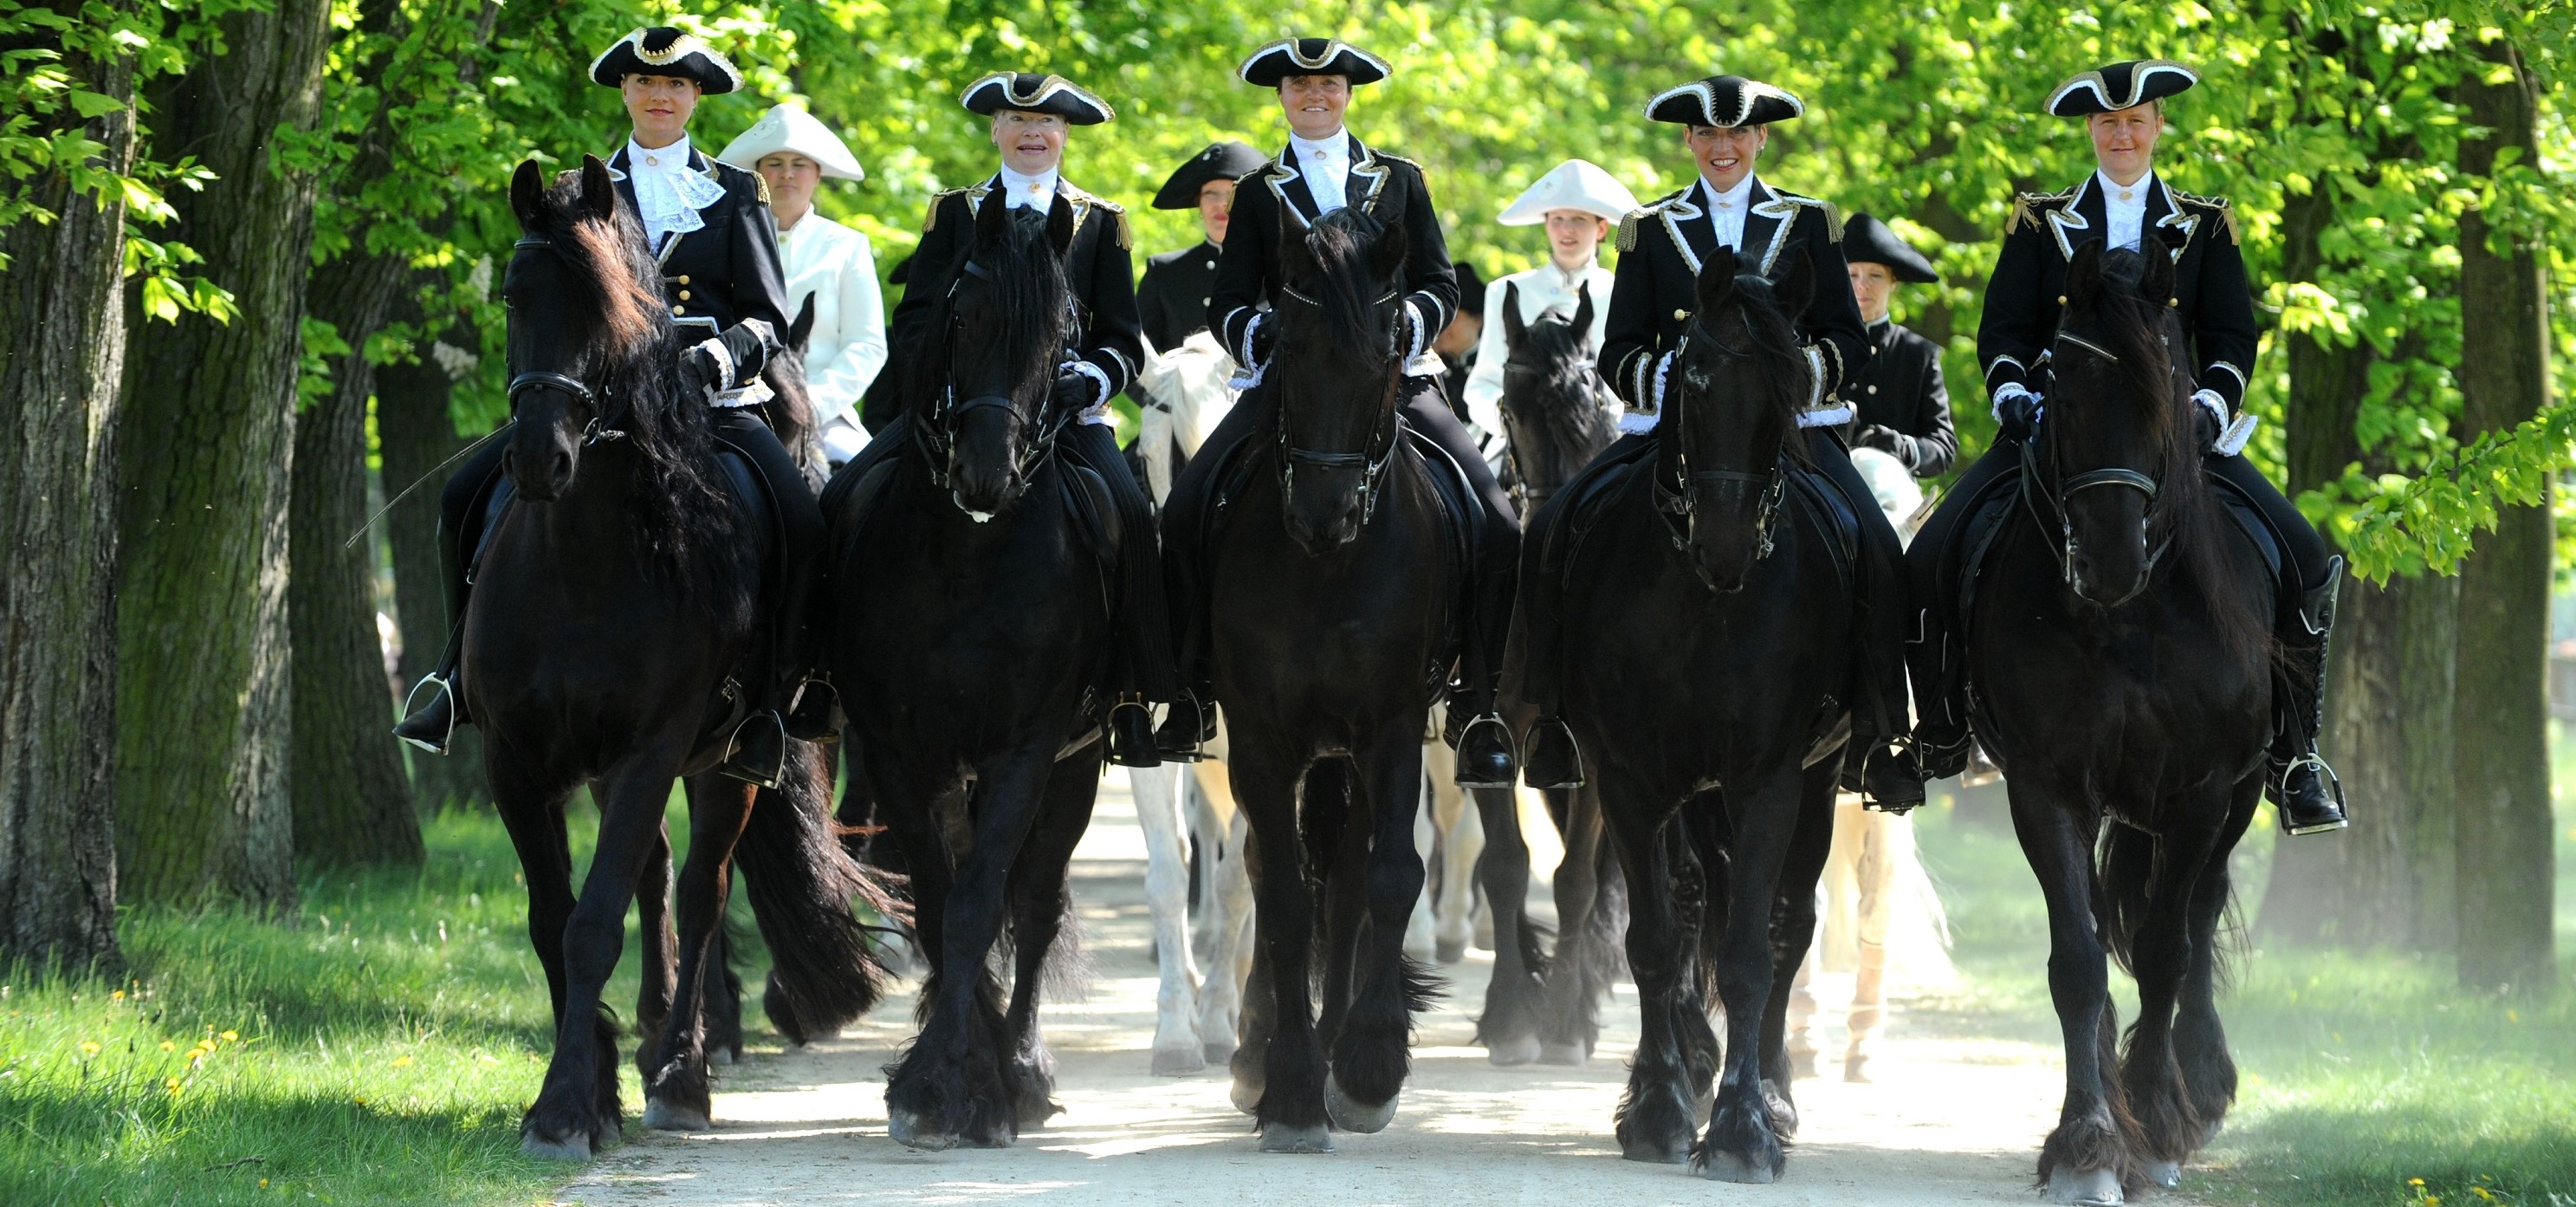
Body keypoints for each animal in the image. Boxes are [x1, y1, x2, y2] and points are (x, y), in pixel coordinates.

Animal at [476, 155, 896, 1155]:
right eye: (514, 293)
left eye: (613, 309)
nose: (541, 458)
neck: (579, 567)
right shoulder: (514, 759)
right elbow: (553, 918)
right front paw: (586, 1088)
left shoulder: (653, 749)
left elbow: (594, 923)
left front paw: (567, 1105)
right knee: (663, 878)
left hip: (733, 760)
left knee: (703, 889)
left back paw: (681, 1072)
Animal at [819, 191, 1112, 1150]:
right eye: (959, 314)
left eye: (1066, 334)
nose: (988, 472)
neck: (968, 557)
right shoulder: (899, 752)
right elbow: (940, 902)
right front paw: (938, 1079)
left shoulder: (1029, 748)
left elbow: (983, 903)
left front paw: (971, 1081)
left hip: (1074, 774)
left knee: (1037, 904)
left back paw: (1024, 1068)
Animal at [1535, 250, 1865, 1181]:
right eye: (1698, 381)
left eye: (1790, 392)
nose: (1725, 545)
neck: (1702, 605)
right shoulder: (1629, 778)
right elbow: (1656, 937)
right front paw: (1657, 1108)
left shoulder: (1770, 780)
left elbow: (1752, 951)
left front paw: (1745, 1128)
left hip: (1817, 784)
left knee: (1788, 925)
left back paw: (1777, 1094)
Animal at [1958, 238, 2267, 1207]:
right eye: (2060, 390)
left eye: (2168, 385)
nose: (2106, 560)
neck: (2129, 620)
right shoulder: (2047, 785)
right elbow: (2079, 961)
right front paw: (2089, 1141)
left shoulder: (2202, 790)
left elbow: (2167, 949)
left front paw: (2158, 1124)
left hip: (2241, 796)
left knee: (2200, 912)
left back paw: (2198, 1084)